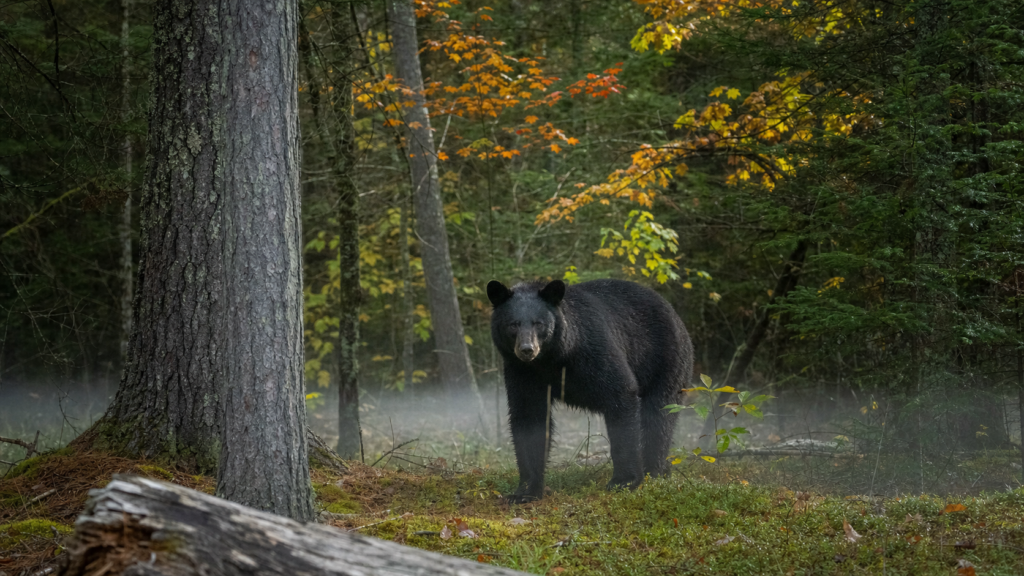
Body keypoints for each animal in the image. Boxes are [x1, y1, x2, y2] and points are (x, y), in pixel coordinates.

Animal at [487, 278, 693, 503]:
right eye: (513, 324)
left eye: (538, 323)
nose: (527, 349)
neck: (551, 359)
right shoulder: (522, 372)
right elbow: (529, 417)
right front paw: (525, 491)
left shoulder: (592, 351)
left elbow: (620, 392)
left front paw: (624, 481)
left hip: (664, 361)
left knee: (659, 416)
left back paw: (654, 471)